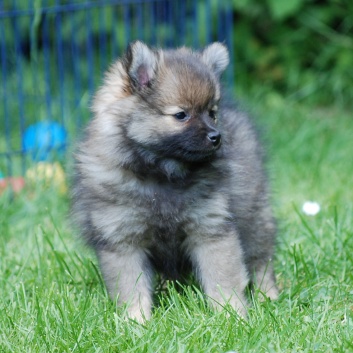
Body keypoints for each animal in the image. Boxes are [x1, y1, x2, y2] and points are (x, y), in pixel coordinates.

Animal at [72, 41, 278, 322]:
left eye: (212, 113)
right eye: (181, 115)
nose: (217, 137)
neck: (163, 174)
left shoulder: (211, 228)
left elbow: (223, 280)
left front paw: (231, 315)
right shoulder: (123, 239)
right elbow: (131, 288)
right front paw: (136, 322)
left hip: (255, 218)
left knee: (261, 261)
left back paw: (269, 296)